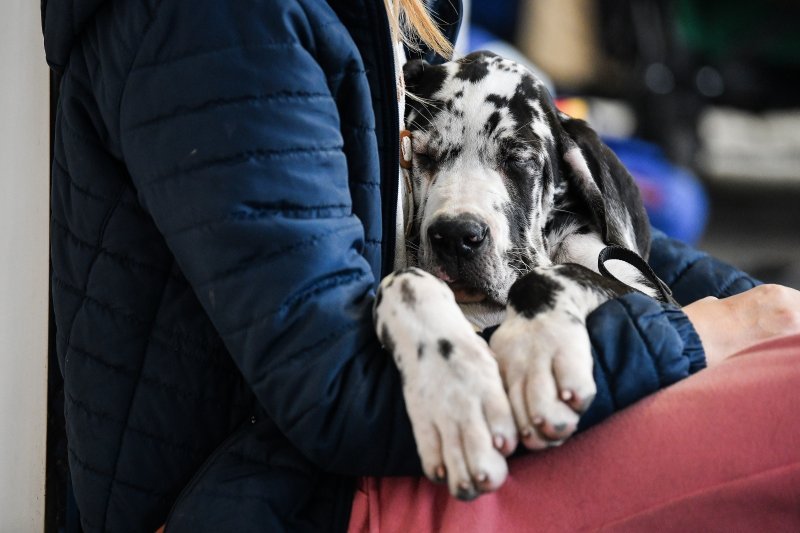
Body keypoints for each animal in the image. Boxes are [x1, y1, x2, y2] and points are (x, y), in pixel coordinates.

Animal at [376, 52, 668, 500]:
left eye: (518, 160)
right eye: (422, 155)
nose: (457, 236)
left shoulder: (651, 296)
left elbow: (550, 275)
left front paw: (537, 352)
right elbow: (404, 282)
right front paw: (455, 393)